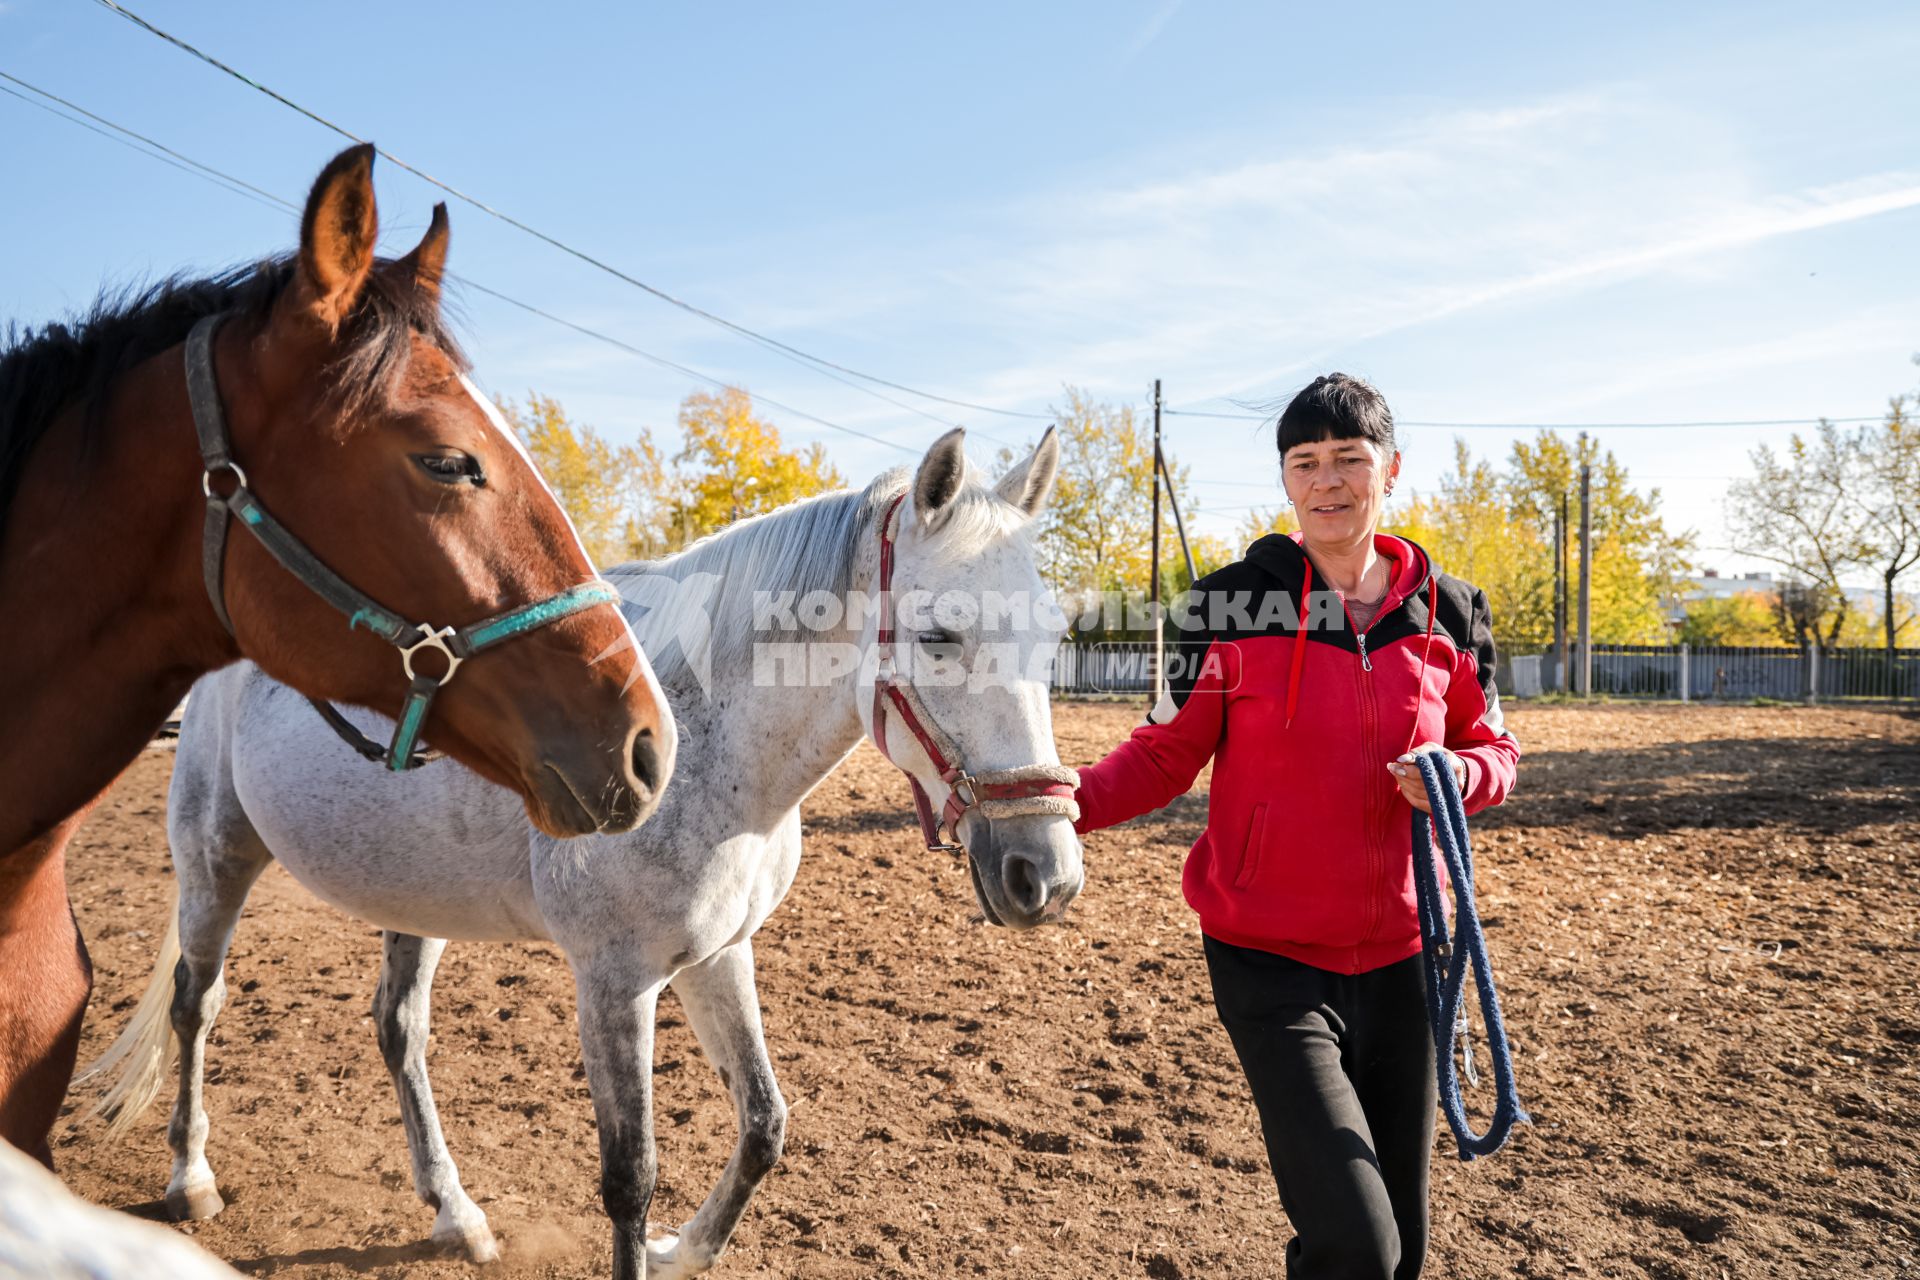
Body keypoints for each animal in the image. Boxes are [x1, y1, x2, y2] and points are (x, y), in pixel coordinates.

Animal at [90, 433, 1082, 1280]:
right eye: (941, 636)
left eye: (1054, 635)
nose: (1046, 874)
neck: (702, 741)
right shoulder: (615, 982)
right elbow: (629, 1177)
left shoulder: (719, 955)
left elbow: (763, 1123)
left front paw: (682, 1251)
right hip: (216, 858)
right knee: (196, 1006)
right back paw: (191, 1179)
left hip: (409, 899)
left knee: (399, 1030)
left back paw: (455, 1212)